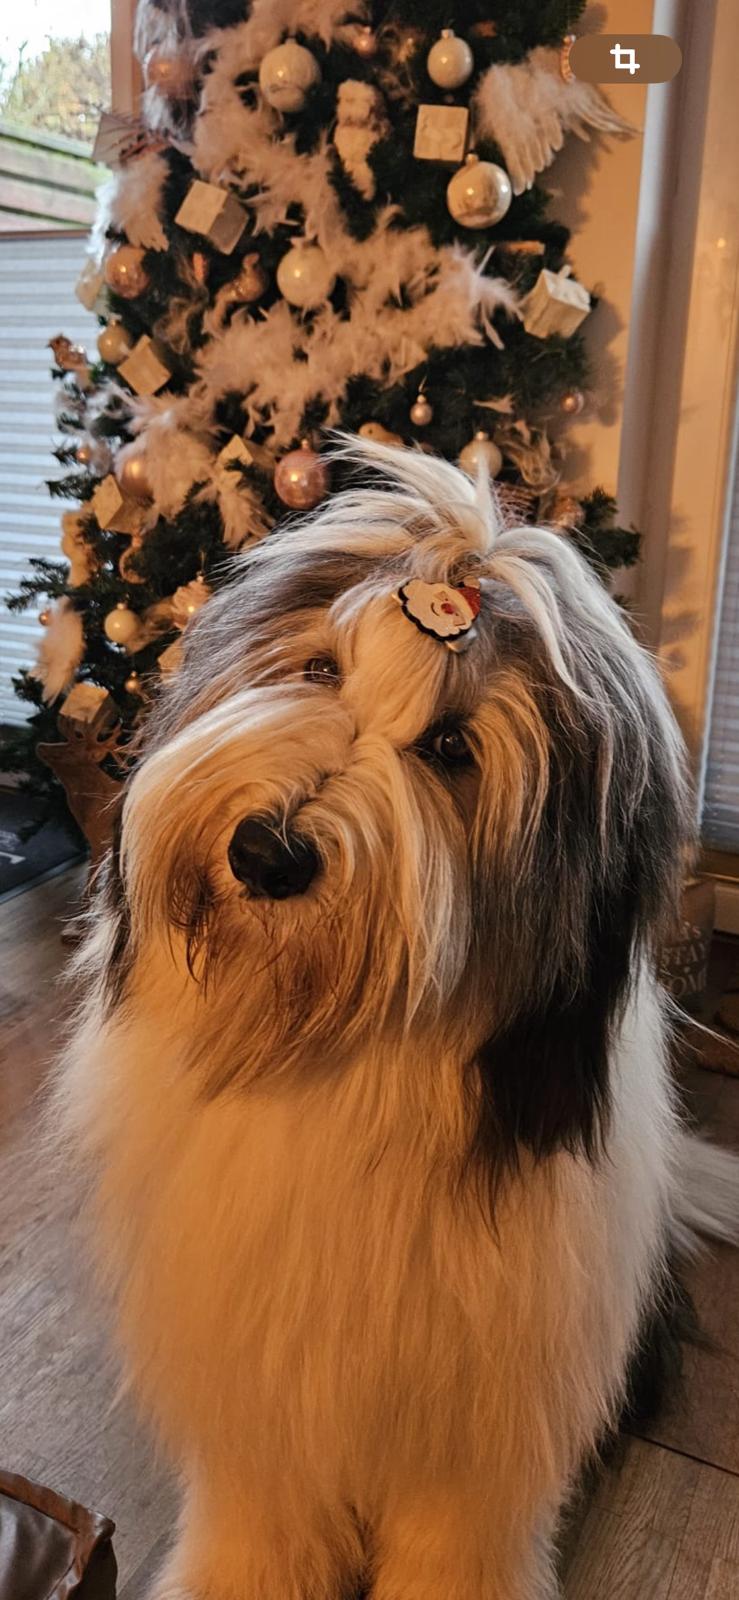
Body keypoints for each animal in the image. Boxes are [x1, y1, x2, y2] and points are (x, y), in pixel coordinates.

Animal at [59, 439, 739, 1599]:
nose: (268, 852)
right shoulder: (261, 1377)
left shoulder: (482, 1426)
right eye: (319, 671)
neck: (332, 1052)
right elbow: (264, 1512)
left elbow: (458, 1534)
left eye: (454, 749)